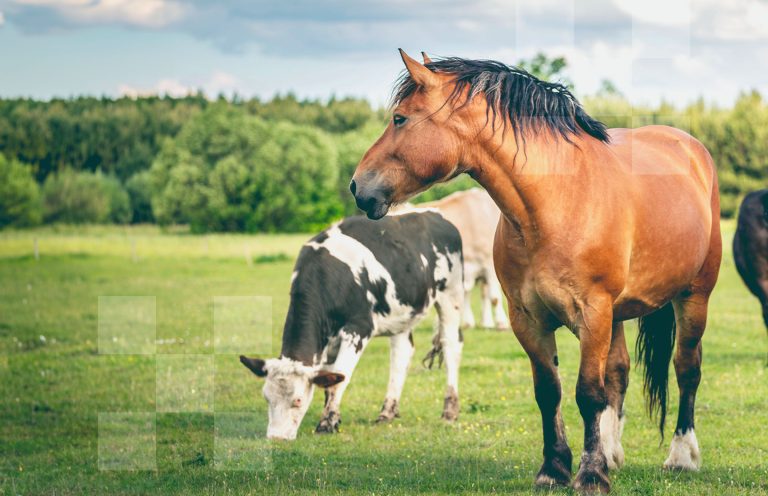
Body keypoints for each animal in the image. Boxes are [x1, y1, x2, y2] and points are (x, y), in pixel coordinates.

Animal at [240, 211, 464, 440]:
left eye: (298, 400)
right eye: (266, 397)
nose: (276, 438)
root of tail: (432, 214)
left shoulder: (358, 328)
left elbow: (339, 378)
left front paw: (327, 423)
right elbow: (330, 381)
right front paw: (333, 417)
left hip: (451, 294)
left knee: (451, 346)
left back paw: (450, 411)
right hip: (403, 312)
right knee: (401, 354)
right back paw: (387, 412)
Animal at [352, 50, 724, 492]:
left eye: (400, 118)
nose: (358, 187)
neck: (554, 204)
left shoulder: (592, 314)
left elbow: (587, 392)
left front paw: (590, 475)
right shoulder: (527, 318)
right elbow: (550, 391)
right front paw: (557, 468)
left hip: (693, 297)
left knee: (686, 368)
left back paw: (681, 455)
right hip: (618, 314)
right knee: (619, 373)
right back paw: (612, 453)